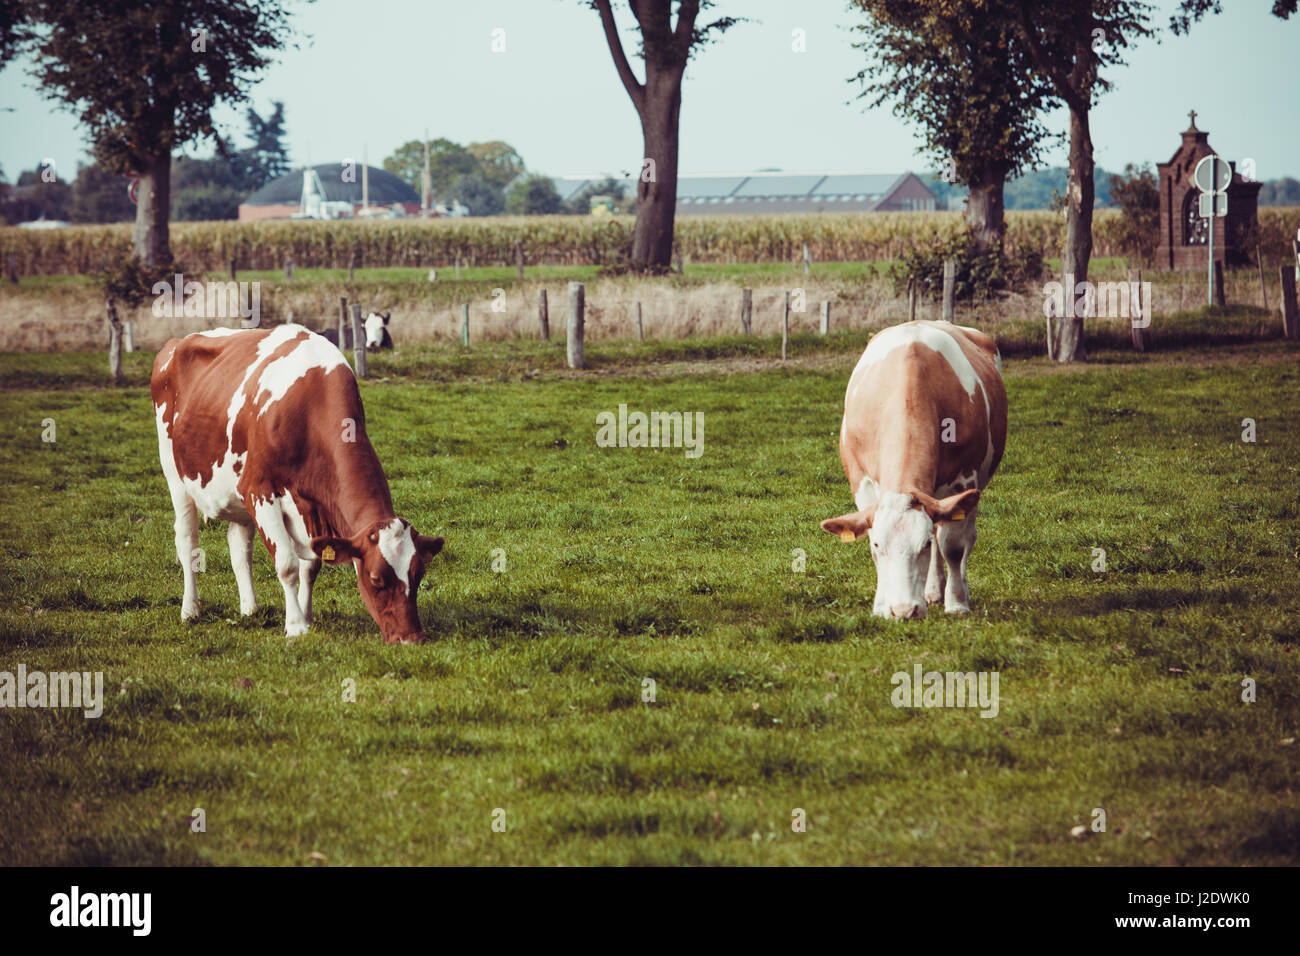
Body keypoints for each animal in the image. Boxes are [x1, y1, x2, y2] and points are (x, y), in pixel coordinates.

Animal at [151, 324, 443, 643]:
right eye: (377, 579)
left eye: (419, 574)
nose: (412, 638)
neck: (311, 405)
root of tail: (178, 341)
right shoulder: (258, 490)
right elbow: (288, 565)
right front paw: (296, 626)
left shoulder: (310, 507)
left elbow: (311, 565)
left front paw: (306, 615)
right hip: (175, 477)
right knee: (187, 542)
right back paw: (190, 610)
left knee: (239, 549)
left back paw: (250, 609)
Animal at [821, 320, 1006, 621]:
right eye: (878, 546)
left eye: (923, 545)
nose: (905, 610)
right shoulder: (863, 485)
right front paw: (881, 605)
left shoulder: (964, 480)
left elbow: (952, 546)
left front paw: (957, 603)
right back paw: (932, 591)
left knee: (965, 537)